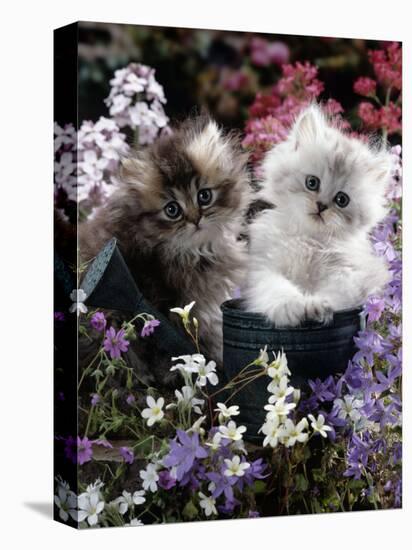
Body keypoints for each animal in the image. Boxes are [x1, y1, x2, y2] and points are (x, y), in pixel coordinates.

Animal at [245, 104, 392, 328]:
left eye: (341, 200)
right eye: (312, 183)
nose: (321, 206)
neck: (309, 239)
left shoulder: (350, 274)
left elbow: (335, 294)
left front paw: (318, 306)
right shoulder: (265, 268)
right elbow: (278, 289)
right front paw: (294, 307)